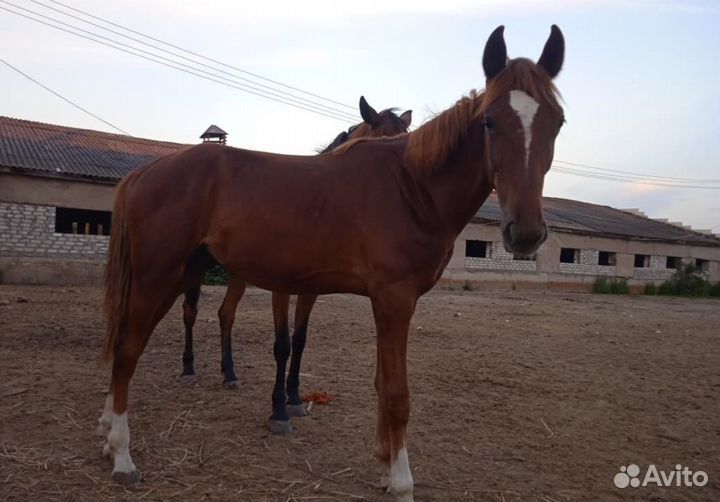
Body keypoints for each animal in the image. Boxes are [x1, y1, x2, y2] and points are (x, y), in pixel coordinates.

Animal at [178, 96, 412, 405]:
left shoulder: (311, 290)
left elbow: (300, 340)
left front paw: (294, 395)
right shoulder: (281, 287)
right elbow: (283, 343)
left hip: (237, 274)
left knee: (226, 314)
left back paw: (229, 373)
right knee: (189, 311)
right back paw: (188, 367)